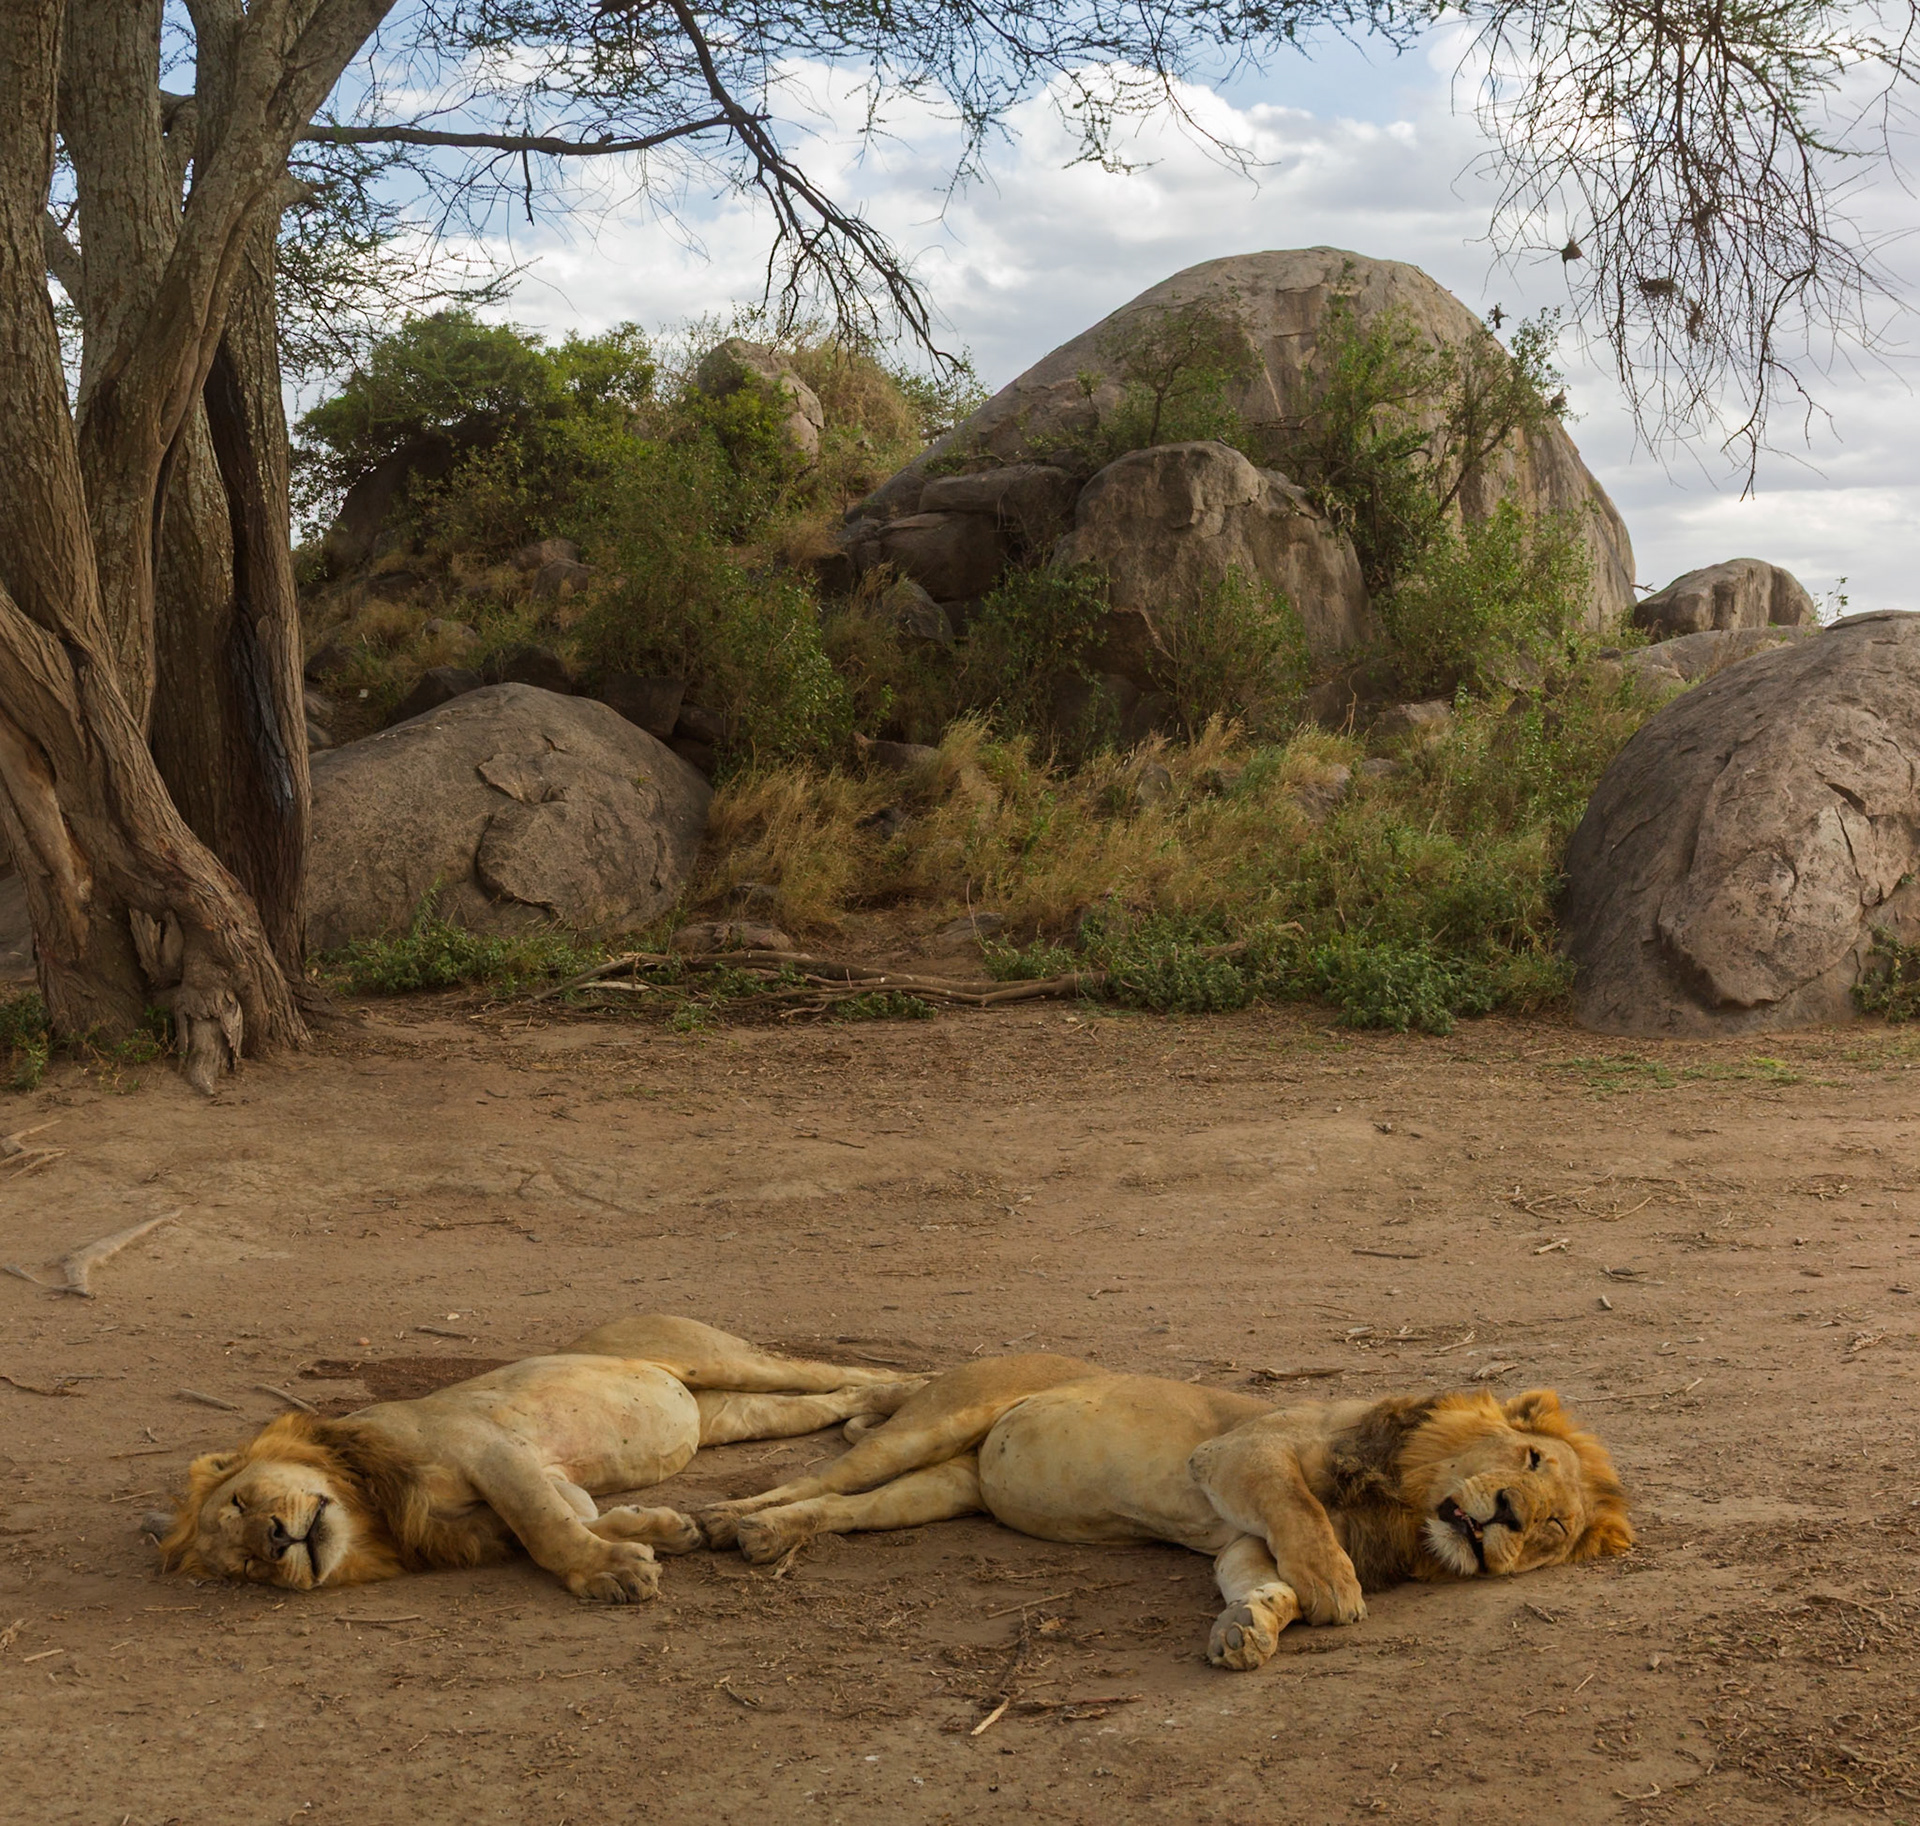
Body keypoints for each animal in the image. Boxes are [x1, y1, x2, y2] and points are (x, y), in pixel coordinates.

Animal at [156, 1316, 920, 1603]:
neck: (373, 1511)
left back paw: (916, 1387)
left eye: (242, 1500)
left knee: (839, 1369)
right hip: (730, 1414)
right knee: (836, 1396)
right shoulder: (535, 1483)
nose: (274, 1540)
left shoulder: (489, 1449)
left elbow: (544, 1530)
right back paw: (874, 1412)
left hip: (715, 1356)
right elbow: (570, 1515)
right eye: (246, 1567)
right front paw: (663, 1530)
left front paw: (611, 1575)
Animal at [697, 1355, 1632, 1667]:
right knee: (813, 1478)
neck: (1407, 1509)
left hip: (941, 1488)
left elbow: (1263, 1581)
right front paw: (1338, 1591)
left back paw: (766, 1536)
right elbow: (1305, 1520)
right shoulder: (1237, 1456)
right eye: (1530, 1460)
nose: (1507, 1515)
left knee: (843, 1508)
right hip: (934, 1423)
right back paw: (719, 1520)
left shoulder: (1244, 1540)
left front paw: (1250, 1629)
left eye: (1552, 1529)